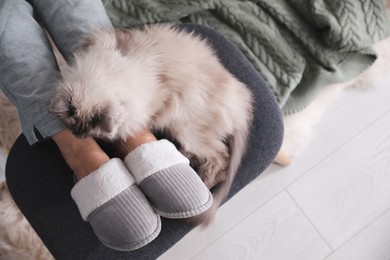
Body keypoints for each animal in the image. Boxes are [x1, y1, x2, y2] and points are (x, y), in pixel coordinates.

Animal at [51, 24, 253, 225]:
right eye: (74, 122)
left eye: (91, 126)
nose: (78, 135)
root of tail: (242, 106)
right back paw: (183, 156)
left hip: (186, 130)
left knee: (221, 159)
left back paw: (203, 180)